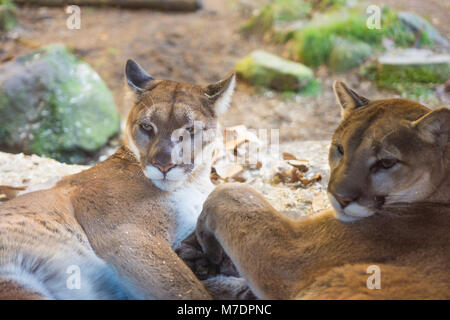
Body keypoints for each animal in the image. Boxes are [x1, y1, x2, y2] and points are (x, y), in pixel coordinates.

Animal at [0, 60, 237, 300]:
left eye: (189, 129)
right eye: (147, 126)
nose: (163, 165)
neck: (194, 182)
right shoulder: (129, 236)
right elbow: (185, 287)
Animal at [183, 82, 450, 300]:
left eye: (386, 163)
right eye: (340, 149)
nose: (340, 197)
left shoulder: (291, 254)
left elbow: (230, 192)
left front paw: (203, 241)